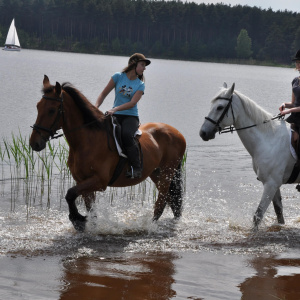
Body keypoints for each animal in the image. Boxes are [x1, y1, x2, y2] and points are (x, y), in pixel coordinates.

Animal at [29, 76, 185, 231]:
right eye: (37, 106)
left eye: (51, 110)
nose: (34, 143)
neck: (86, 141)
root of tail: (178, 133)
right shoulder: (82, 181)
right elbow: (90, 208)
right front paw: (88, 224)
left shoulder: (99, 181)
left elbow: (70, 193)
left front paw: (77, 219)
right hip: (156, 173)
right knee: (171, 199)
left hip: (167, 172)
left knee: (162, 202)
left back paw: (149, 226)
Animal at [198, 82, 298, 227]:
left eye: (220, 107)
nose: (203, 133)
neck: (268, 140)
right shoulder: (273, 184)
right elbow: (279, 211)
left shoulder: (271, 184)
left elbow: (258, 215)